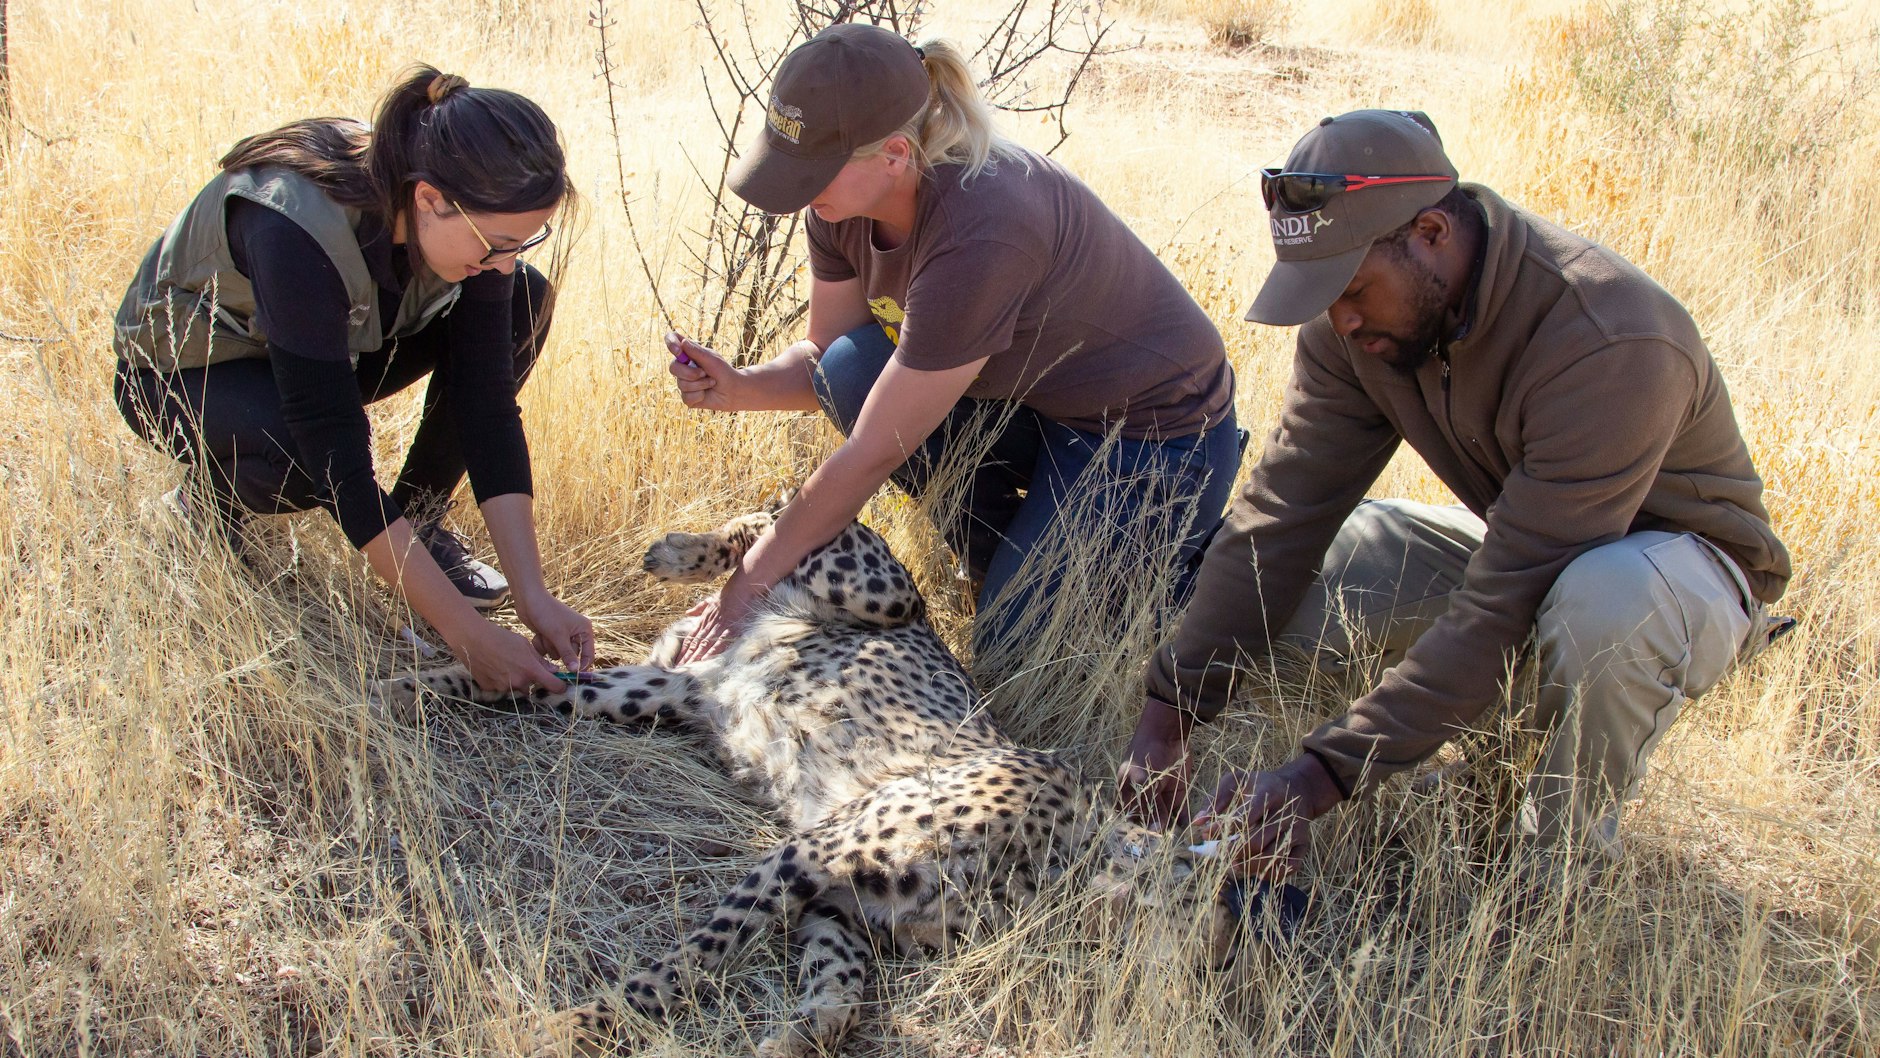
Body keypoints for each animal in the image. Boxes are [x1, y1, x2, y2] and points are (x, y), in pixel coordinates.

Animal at [378, 503, 1283, 1056]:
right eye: (1217, 924)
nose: (1216, 978)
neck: (1067, 862)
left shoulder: (839, 904)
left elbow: (841, 995)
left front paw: (796, 1037)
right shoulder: (808, 853)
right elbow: (689, 961)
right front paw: (577, 1023)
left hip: (656, 693)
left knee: (544, 684)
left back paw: (415, 686)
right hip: (885, 589)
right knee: (786, 517)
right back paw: (680, 550)